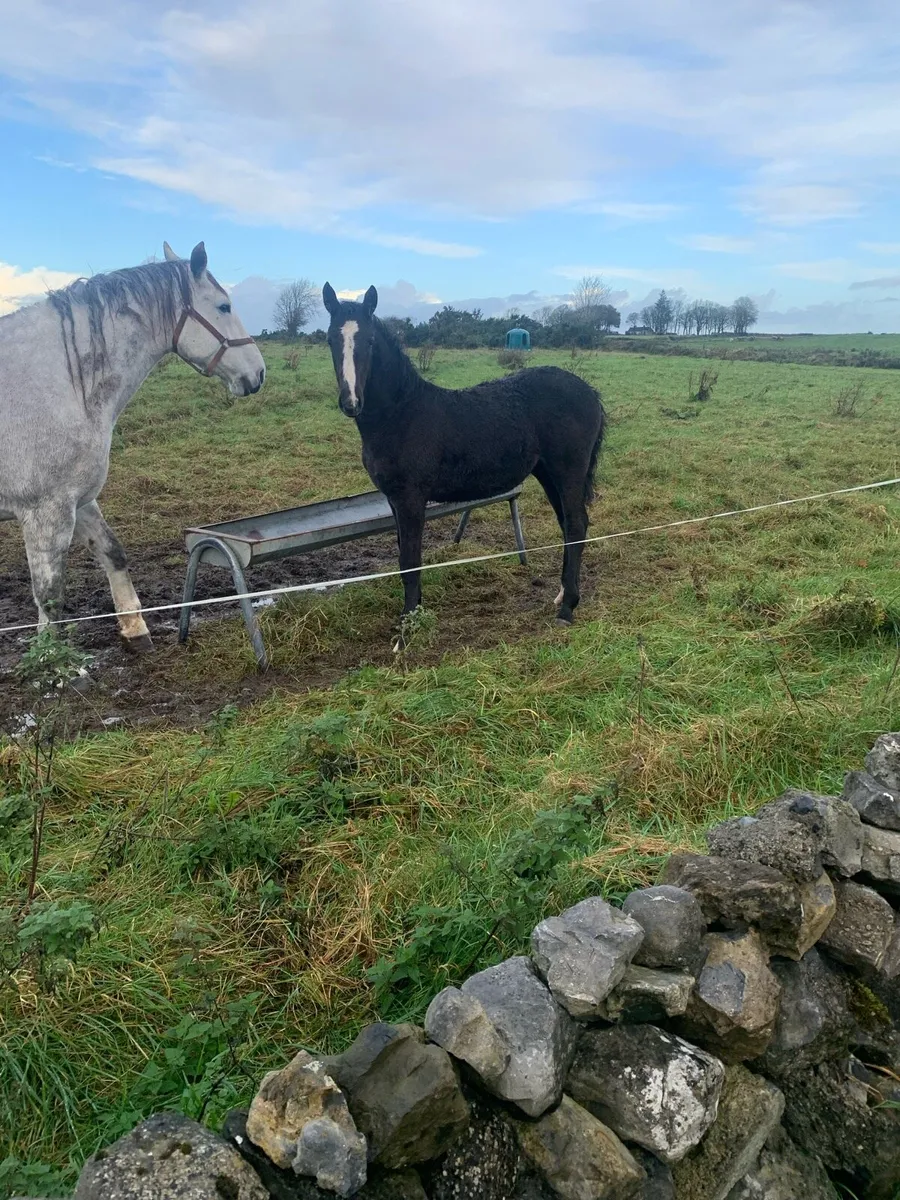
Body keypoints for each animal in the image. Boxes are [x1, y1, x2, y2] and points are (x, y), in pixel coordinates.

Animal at [0, 242, 266, 651]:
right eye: (224, 306)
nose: (258, 372)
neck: (59, 382)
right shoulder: (46, 512)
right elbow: (49, 595)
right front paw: (51, 659)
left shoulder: (79, 499)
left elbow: (112, 552)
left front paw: (134, 627)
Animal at [322, 283, 605, 625]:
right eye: (330, 339)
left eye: (371, 340)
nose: (351, 402)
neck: (401, 415)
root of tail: (590, 392)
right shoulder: (393, 500)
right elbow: (404, 555)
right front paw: (415, 611)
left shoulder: (411, 499)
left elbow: (410, 560)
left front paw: (408, 624)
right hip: (548, 472)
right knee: (568, 524)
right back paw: (563, 594)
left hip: (569, 470)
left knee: (576, 523)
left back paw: (567, 609)